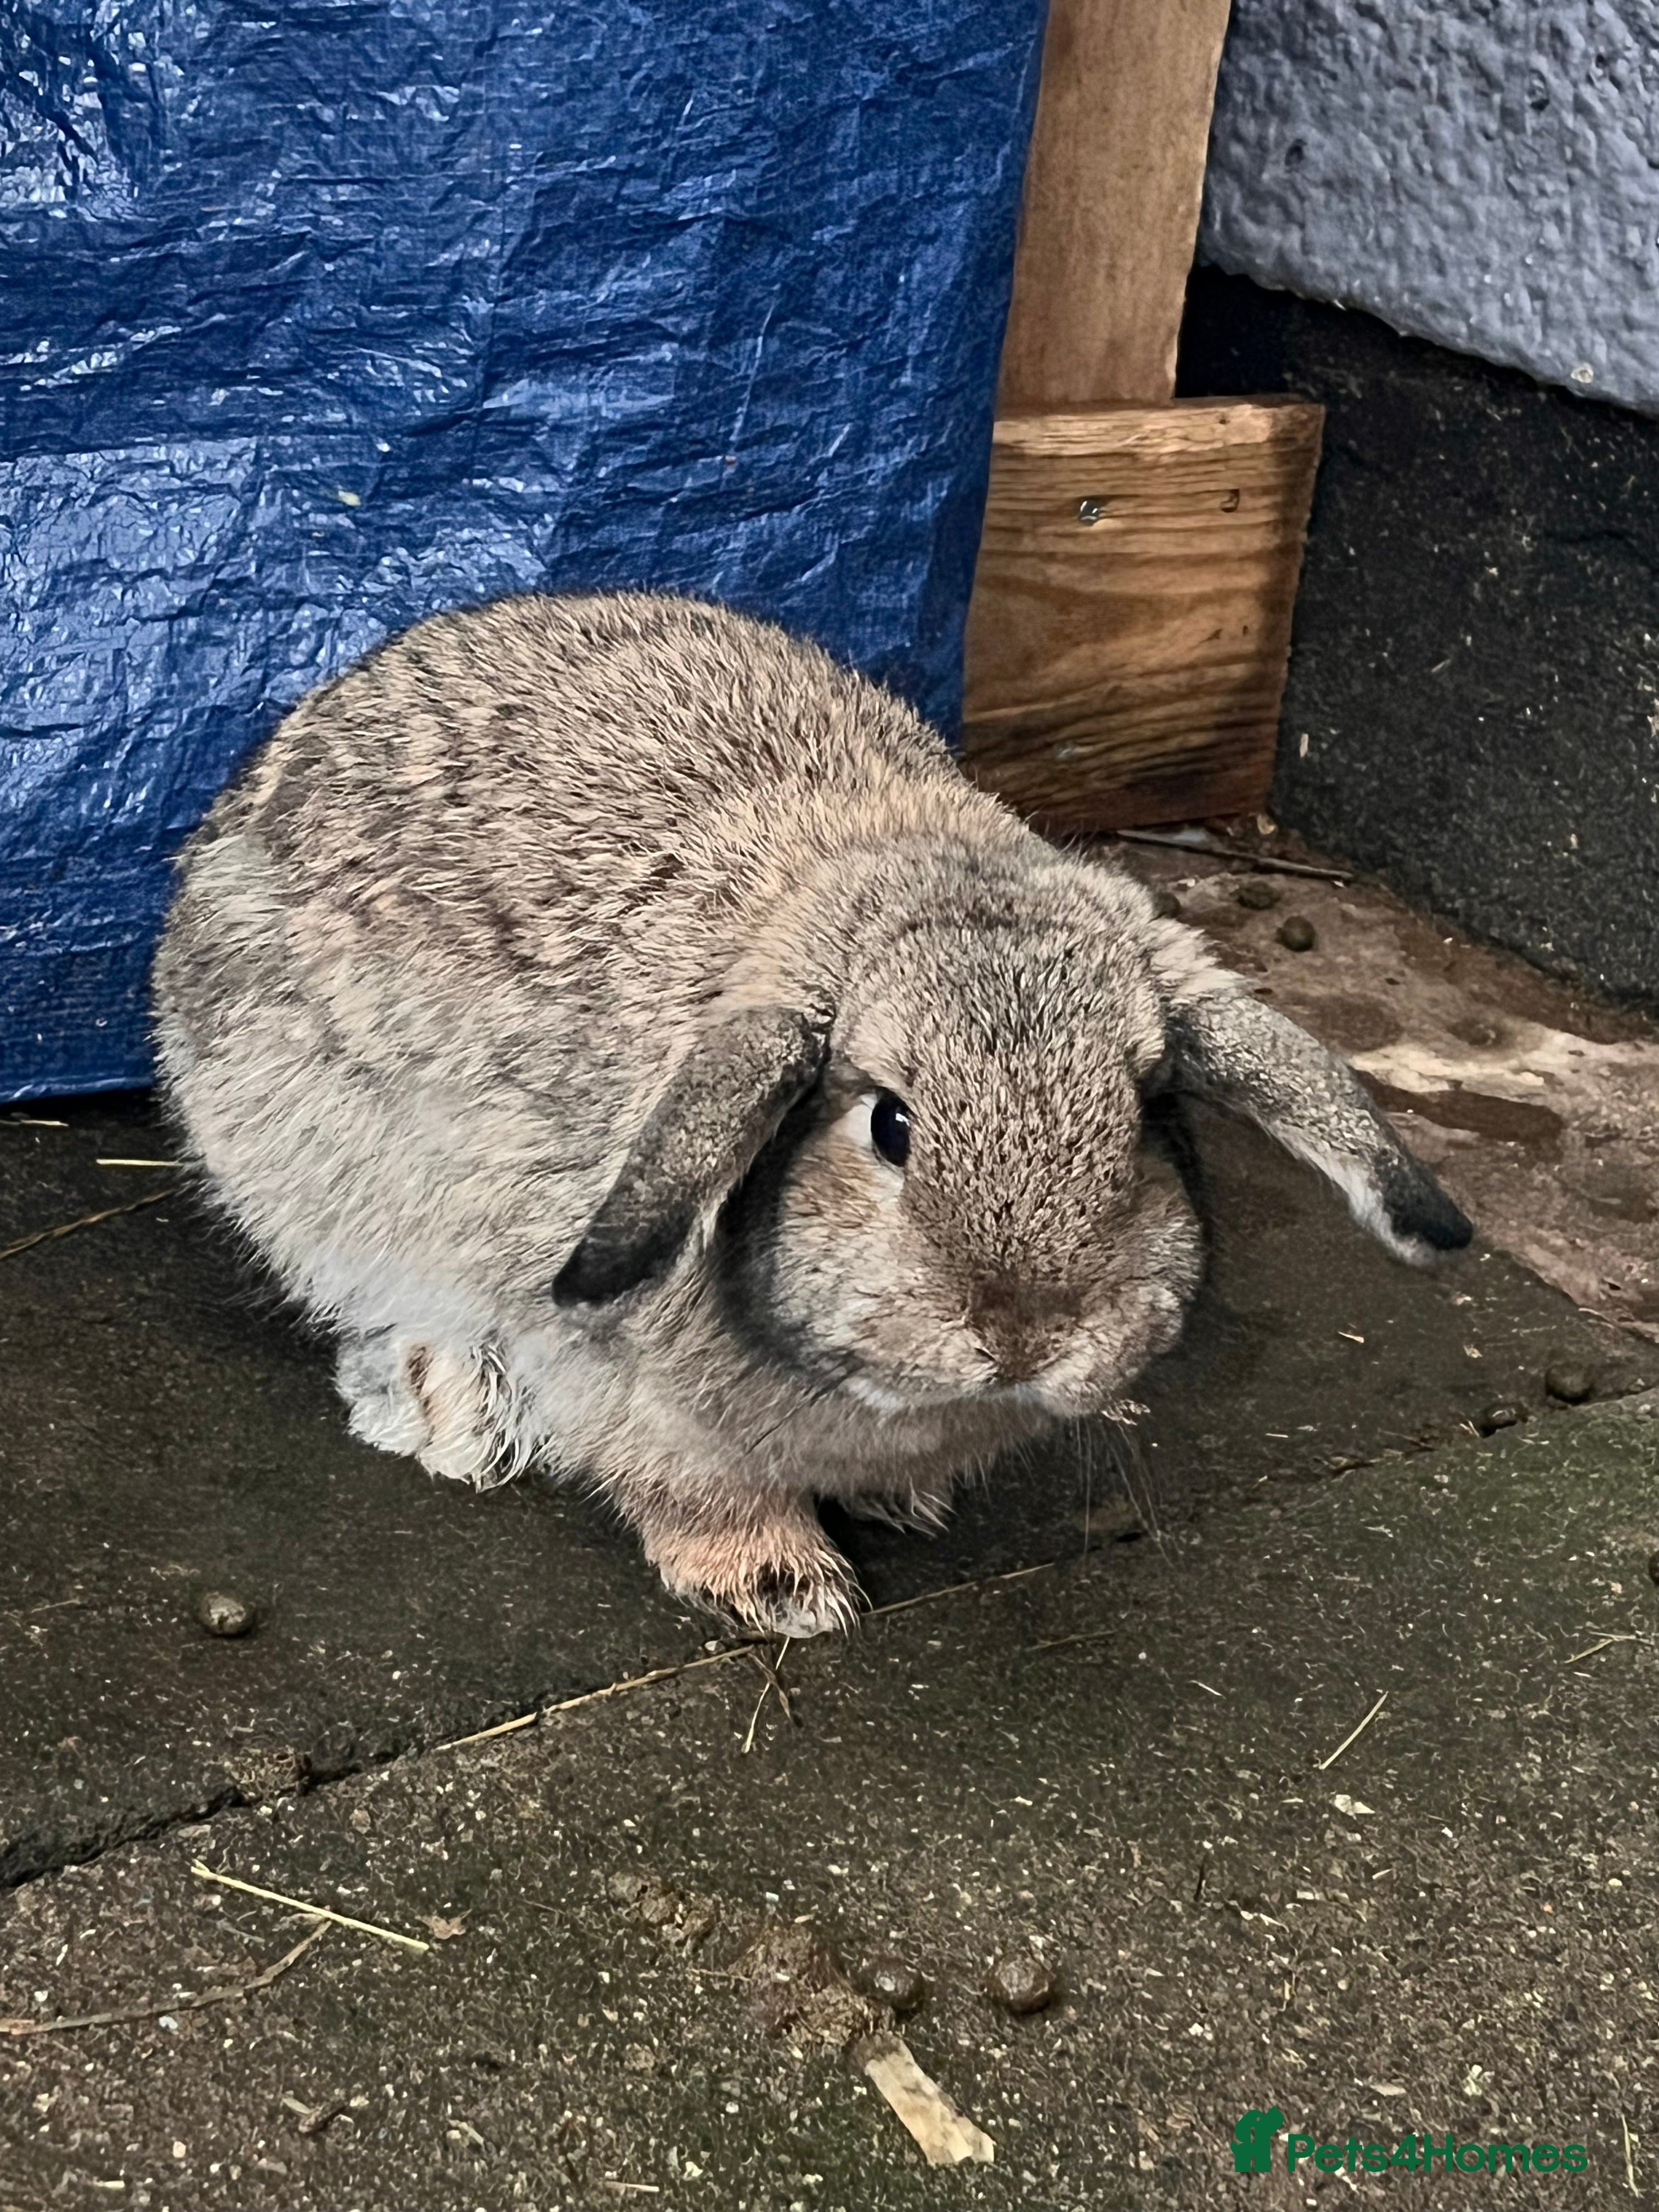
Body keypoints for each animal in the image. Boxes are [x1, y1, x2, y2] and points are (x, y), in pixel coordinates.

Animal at [153, 591, 1472, 1636]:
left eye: (1144, 1114)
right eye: (888, 1124)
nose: (1025, 1336)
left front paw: (904, 1500)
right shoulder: (629, 1388)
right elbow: (686, 1487)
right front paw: (783, 1587)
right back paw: (451, 1411)